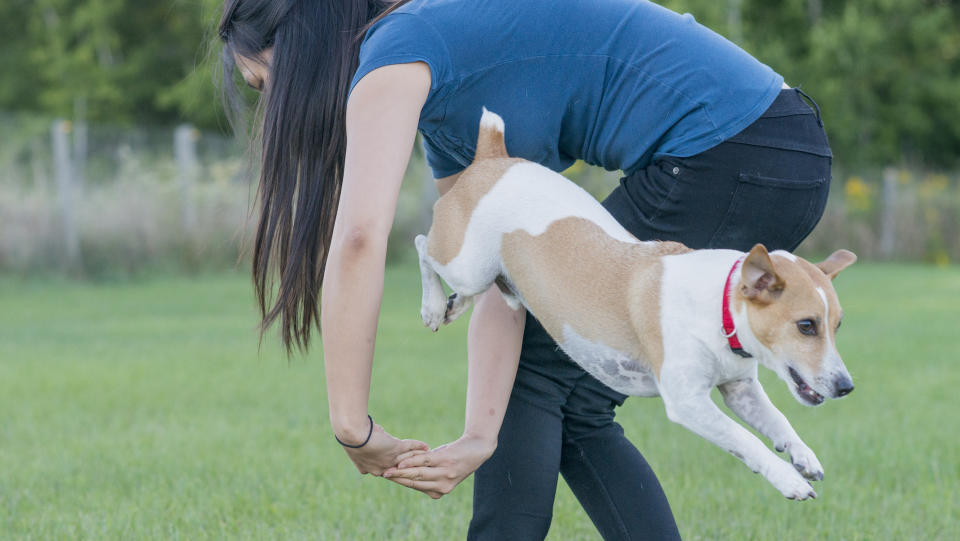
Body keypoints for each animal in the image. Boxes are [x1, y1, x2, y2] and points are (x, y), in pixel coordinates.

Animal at [416, 107, 860, 500]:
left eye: (837, 325)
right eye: (806, 325)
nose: (846, 387)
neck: (717, 307)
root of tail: (494, 158)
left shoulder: (740, 389)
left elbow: (778, 420)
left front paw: (803, 455)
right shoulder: (687, 402)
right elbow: (745, 440)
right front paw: (788, 479)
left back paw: (459, 304)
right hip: (466, 262)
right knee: (423, 245)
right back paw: (434, 305)